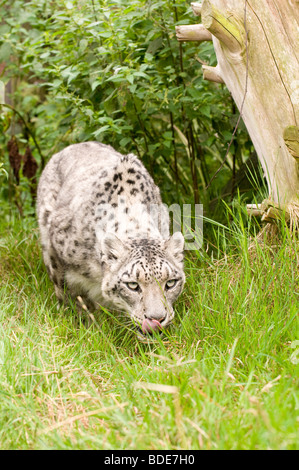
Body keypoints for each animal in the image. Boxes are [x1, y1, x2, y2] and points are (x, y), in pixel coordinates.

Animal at [37, 141, 185, 336]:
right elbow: (72, 298)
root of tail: (75, 145)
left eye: (170, 283)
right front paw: (86, 326)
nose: (157, 319)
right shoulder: (58, 257)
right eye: (132, 285)